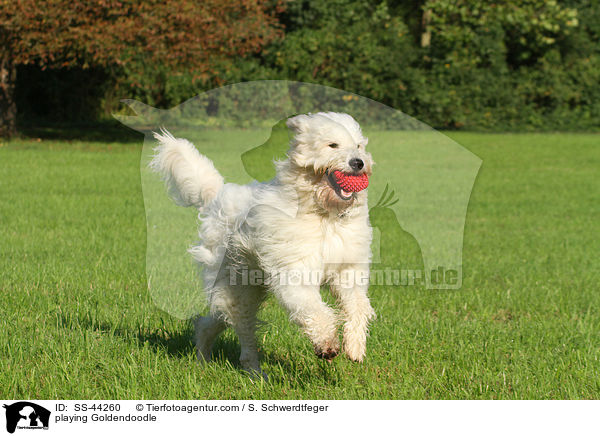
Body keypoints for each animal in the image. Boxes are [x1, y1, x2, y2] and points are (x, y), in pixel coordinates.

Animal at [150, 113, 376, 378]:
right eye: (333, 145)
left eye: (358, 145)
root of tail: (216, 195)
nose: (358, 163)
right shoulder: (294, 272)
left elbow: (357, 306)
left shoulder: (348, 270)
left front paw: (355, 346)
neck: (324, 215)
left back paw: (213, 361)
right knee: (241, 332)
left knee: (210, 321)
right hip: (236, 289)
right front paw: (327, 344)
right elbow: (313, 308)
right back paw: (244, 370)